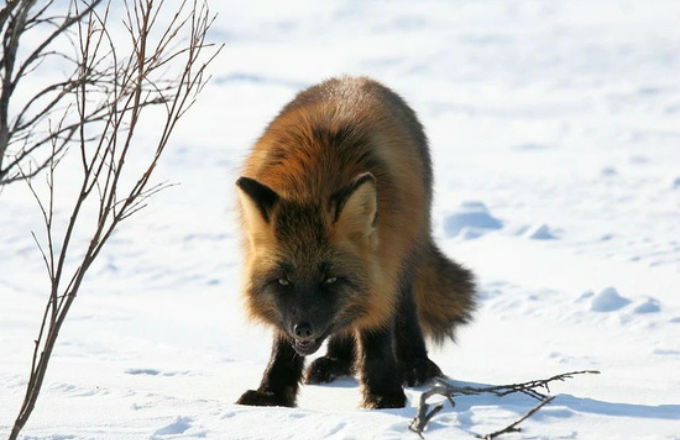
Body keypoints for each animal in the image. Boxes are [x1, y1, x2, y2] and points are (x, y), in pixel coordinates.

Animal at [236, 75, 476, 410]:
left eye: (331, 280)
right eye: (283, 281)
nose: (304, 328)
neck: (315, 181)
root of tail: (359, 79)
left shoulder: (387, 260)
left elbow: (377, 331)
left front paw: (384, 396)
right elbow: (282, 343)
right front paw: (272, 395)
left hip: (405, 255)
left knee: (401, 313)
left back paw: (415, 365)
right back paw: (337, 361)